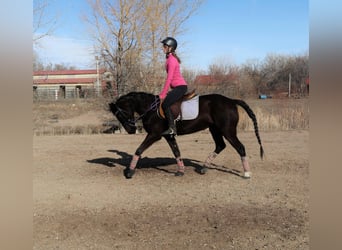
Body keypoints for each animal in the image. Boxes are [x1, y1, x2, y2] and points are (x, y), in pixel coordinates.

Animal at [109, 91, 264, 178]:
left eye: (120, 114)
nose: (130, 130)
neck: (150, 109)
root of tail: (231, 101)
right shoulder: (169, 136)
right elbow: (176, 152)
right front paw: (181, 171)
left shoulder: (154, 134)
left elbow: (139, 150)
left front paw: (129, 172)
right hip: (214, 129)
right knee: (220, 145)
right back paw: (204, 167)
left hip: (228, 131)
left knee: (240, 147)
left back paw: (247, 173)